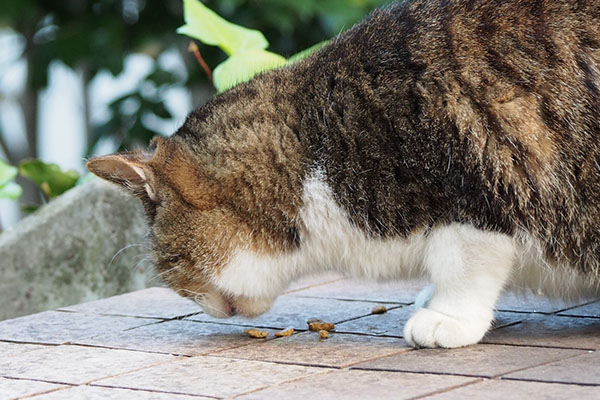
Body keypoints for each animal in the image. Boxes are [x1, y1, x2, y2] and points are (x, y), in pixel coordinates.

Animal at [86, 0, 596, 346]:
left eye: (172, 265)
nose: (205, 309)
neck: (318, 146)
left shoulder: (472, 197)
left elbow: (464, 266)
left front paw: (448, 317)